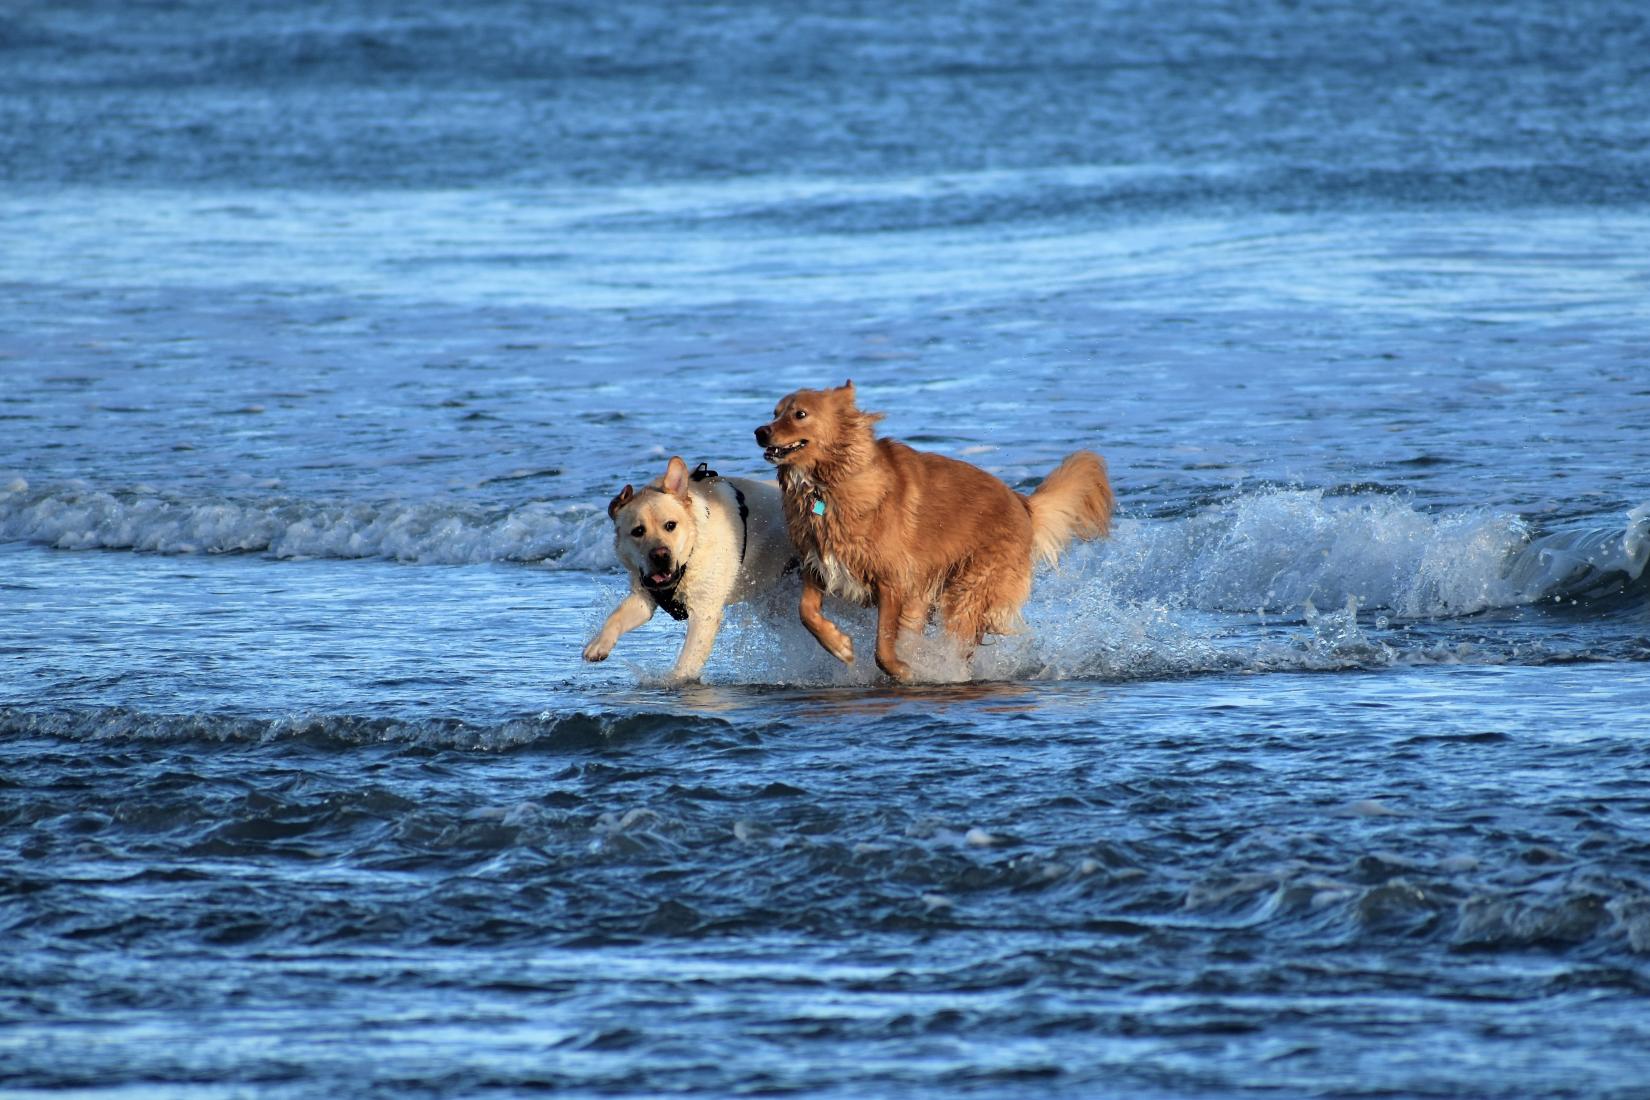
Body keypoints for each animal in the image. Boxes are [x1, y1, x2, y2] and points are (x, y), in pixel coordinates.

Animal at [584, 455, 795, 679]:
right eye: (638, 531)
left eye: (670, 525)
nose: (660, 555)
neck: (690, 556)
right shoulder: (643, 597)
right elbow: (616, 616)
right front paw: (598, 644)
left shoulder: (704, 613)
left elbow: (687, 661)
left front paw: (675, 680)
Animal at [755, 382, 1115, 682]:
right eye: (774, 412)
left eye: (800, 414)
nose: (760, 431)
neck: (826, 485)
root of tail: (1021, 501)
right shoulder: (820, 565)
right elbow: (806, 612)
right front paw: (839, 644)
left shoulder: (895, 581)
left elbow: (883, 644)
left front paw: (902, 670)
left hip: (969, 591)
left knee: (959, 643)